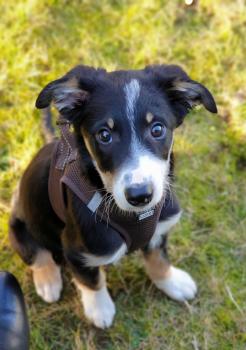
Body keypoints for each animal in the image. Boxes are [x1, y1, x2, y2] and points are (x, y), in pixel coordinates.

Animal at [9, 65, 217, 328]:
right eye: (104, 135)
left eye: (157, 129)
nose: (140, 196)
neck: (135, 216)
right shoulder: (77, 250)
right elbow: (92, 280)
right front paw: (100, 310)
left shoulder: (159, 230)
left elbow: (159, 259)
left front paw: (172, 282)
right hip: (18, 226)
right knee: (37, 254)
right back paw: (49, 281)